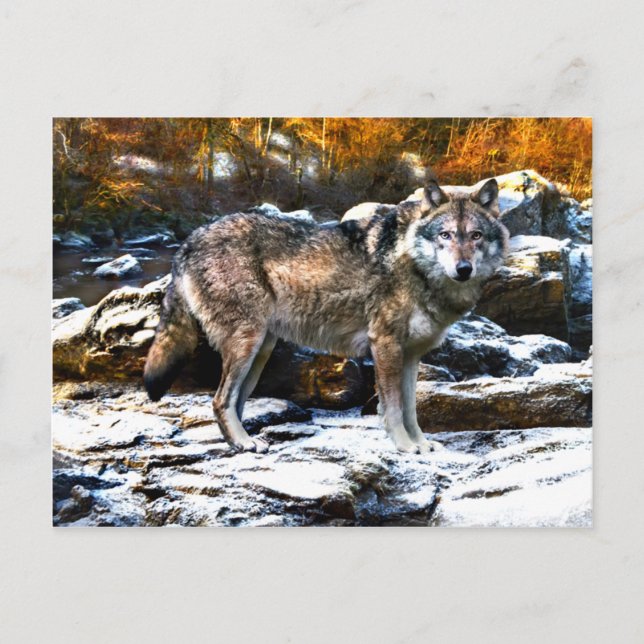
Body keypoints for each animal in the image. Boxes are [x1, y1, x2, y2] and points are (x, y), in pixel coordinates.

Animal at [144, 178, 509, 454]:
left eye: (475, 236)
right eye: (445, 235)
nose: (463, 269)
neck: (413, 264)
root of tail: (188, 241)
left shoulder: (411, 356)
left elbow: (411, 409)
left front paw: (421, 444)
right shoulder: (385, 345)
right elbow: (392, 408)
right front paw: (405, 447)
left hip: (260, 351)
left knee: (233, 402)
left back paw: (244, 441)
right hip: (247, 343)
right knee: (220, 400)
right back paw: (246, 443)